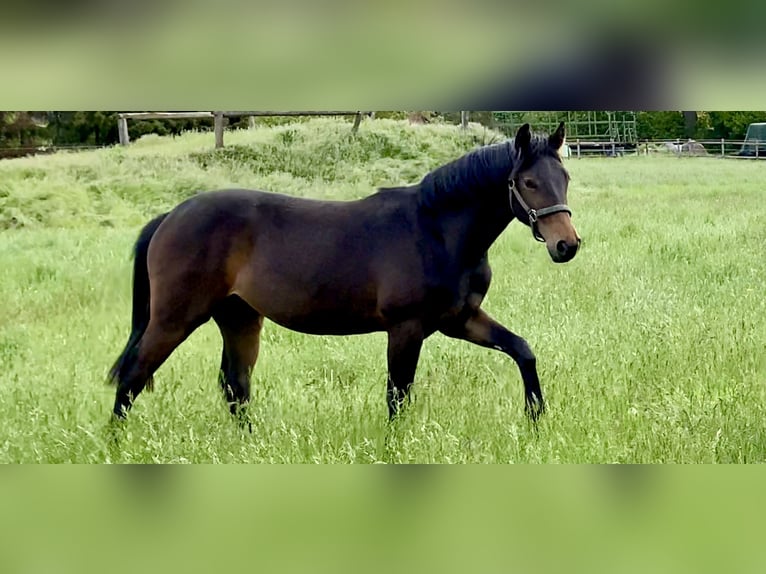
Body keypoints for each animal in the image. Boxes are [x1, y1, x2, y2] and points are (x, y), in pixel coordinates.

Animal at [109, 122, 580, 424]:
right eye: (529, 182)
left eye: (565, 177)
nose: (567, 245)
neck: (436, 230)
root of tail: (170, 216)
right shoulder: (406, 329)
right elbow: (397, 397)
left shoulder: (459, 320)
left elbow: (522, 350)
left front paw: (535, 418)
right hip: (175, 318)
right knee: (133, 377)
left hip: (239, 317)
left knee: (235, 387)